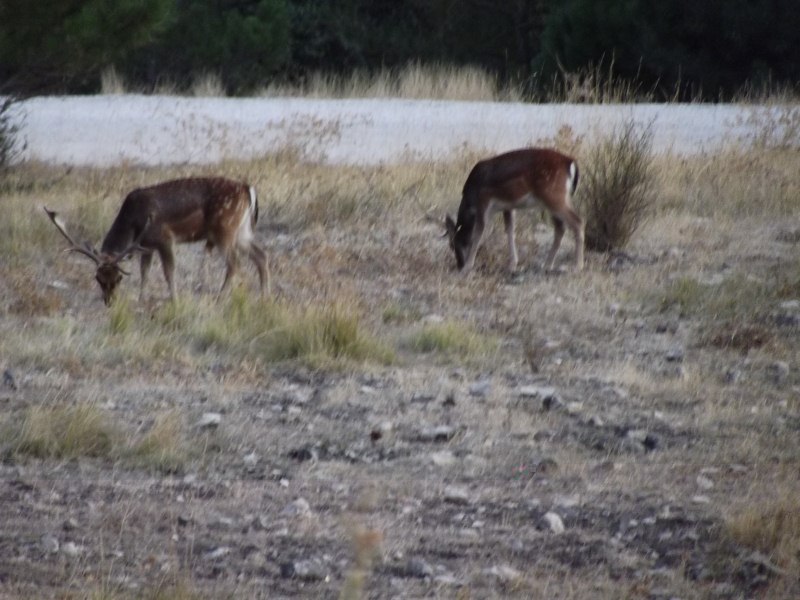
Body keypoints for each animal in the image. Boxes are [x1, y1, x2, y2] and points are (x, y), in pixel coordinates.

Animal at [46, 175, 268, 304]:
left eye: (118, 278)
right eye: (98, 278)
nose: (109, 302)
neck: (132, 222)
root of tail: (249, 189)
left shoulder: (164, 238)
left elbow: (169, 272)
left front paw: (175, 300)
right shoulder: (147, 245)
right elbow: (144, 272)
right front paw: (141, 298)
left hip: (224, 229)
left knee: (235, 263)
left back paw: (221, 297)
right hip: (242, 231)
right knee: (261, 254)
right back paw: (265, 296)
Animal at [440, 148, 584, 274]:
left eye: (452, 244)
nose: (459, 265)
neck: (471, 197)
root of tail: (570, 163)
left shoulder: (484, 199)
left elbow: (478, 233)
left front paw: (468, 267)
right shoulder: (508, 206)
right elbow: (510, 230)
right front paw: (512, 265)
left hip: (553, 196)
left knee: (577, 221)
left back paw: (577, 266)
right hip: (558, 199)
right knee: (561, 227)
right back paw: (547, 264)